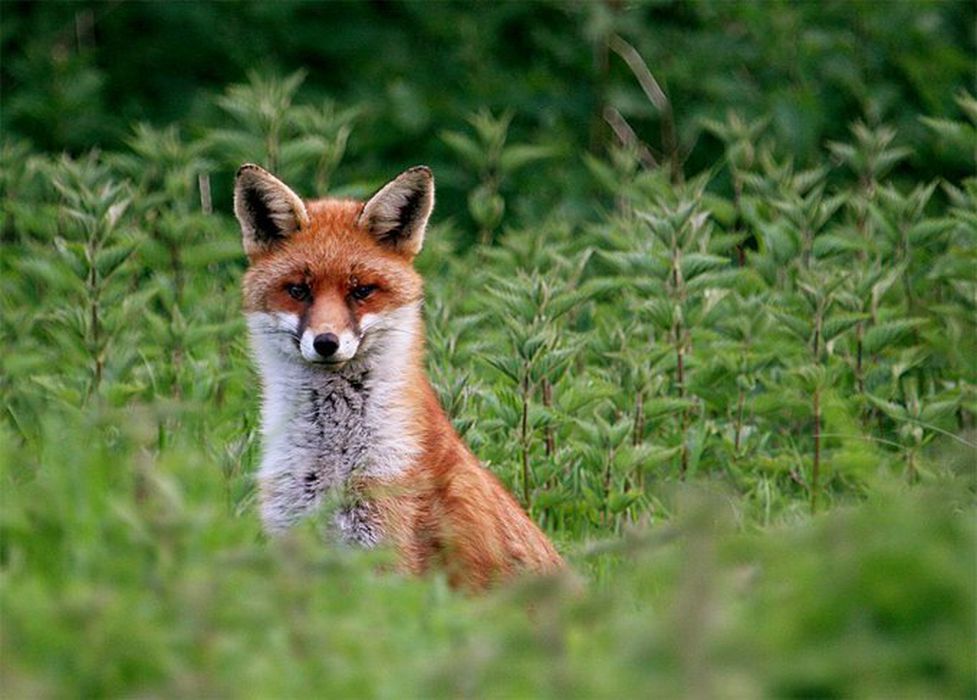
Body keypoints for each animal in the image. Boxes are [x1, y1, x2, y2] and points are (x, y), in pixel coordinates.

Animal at [234, 163, 564, 590]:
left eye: (361, 291)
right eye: (298, 290)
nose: (326, 342)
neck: (331, 461)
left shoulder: (384, 555)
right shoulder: (293, 541)